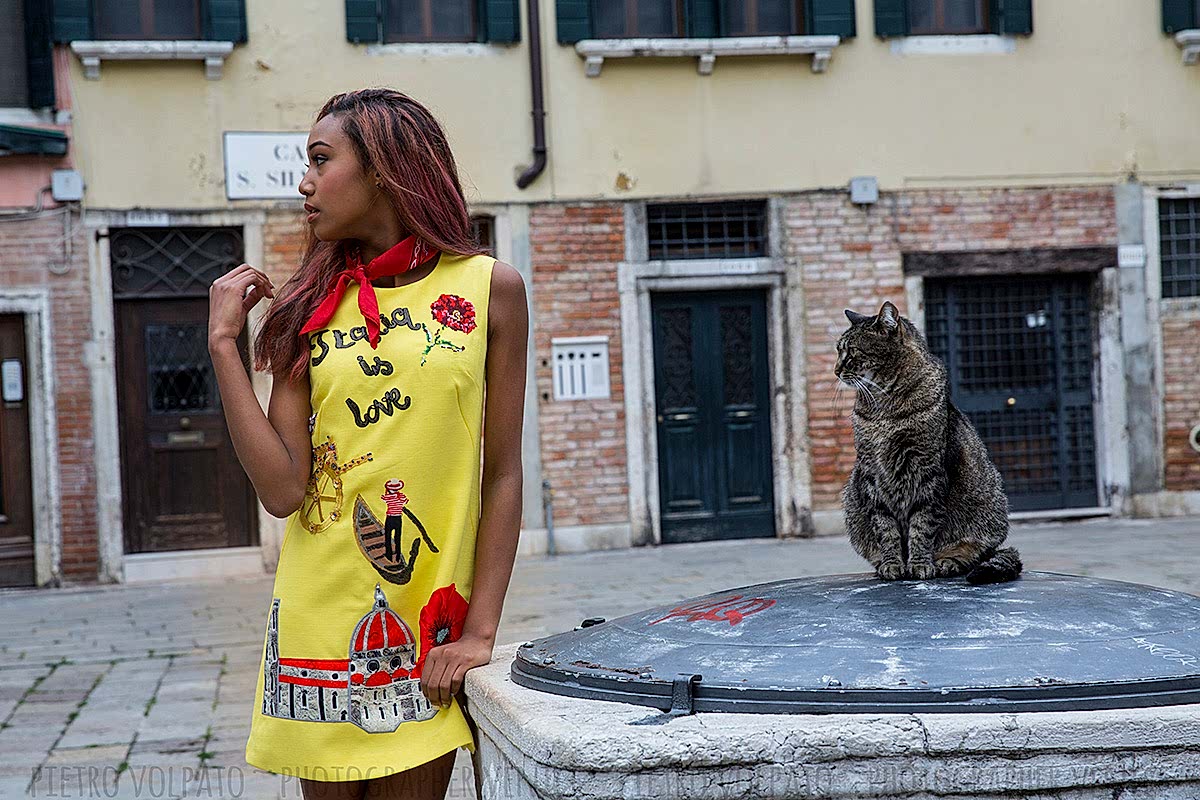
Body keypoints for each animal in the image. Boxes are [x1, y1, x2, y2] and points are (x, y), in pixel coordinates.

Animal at [835, 299, 1022, 582]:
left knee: (977, 552)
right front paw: (892, 563)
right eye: (838, 351)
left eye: (852, 352)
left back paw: (947, 561)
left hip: (989, 513)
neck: (884, 407)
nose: (836, 370)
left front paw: (920, 563)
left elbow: (922, 525)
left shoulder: (928, 472)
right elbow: (885, 527)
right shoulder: (871, 474)